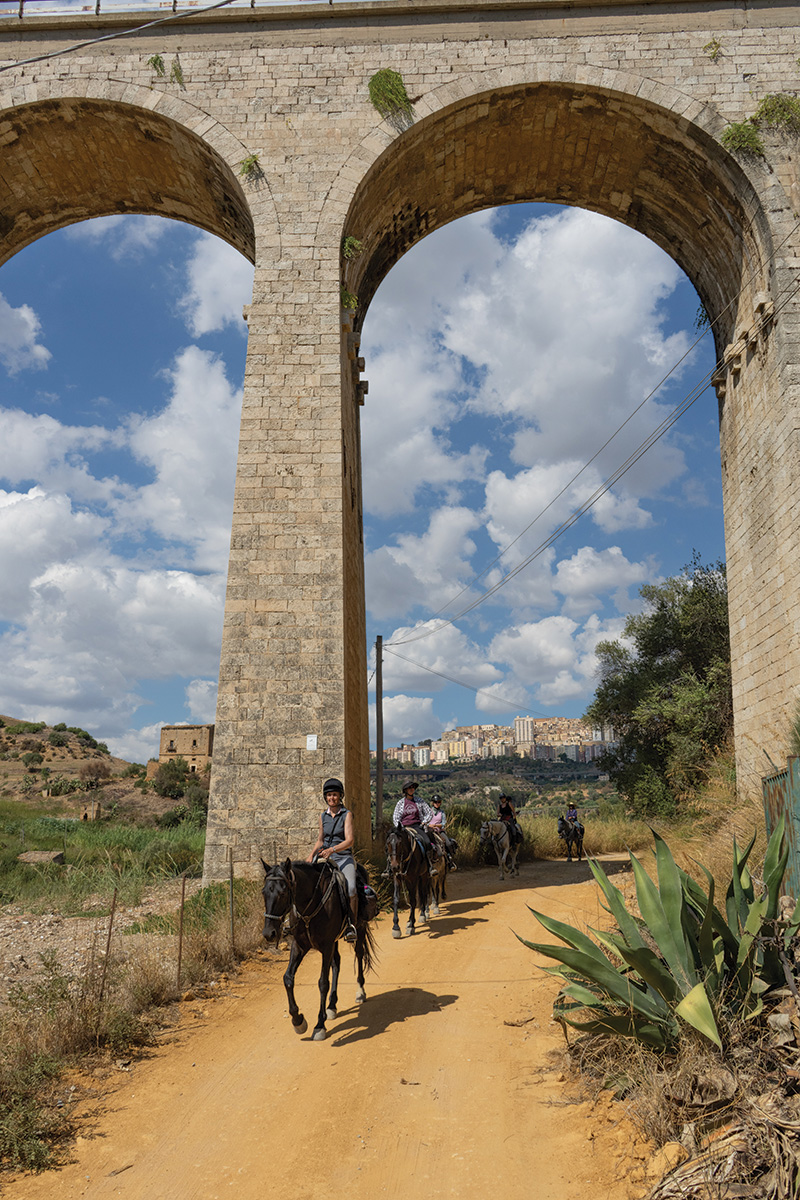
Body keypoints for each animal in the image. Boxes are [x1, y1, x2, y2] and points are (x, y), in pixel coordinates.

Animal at [260, 854, 379, 1041]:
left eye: (283, 892)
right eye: (264, 892)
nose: (269, 933)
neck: (310, 903)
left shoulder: (326, 946)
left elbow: (323, 982)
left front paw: (319, 1026)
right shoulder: (300, 945)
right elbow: (288, 978)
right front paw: (298, 1021)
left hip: (358, 928)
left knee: (359, 955)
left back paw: (360, 992)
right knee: (336, 963)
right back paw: (331, 1006)